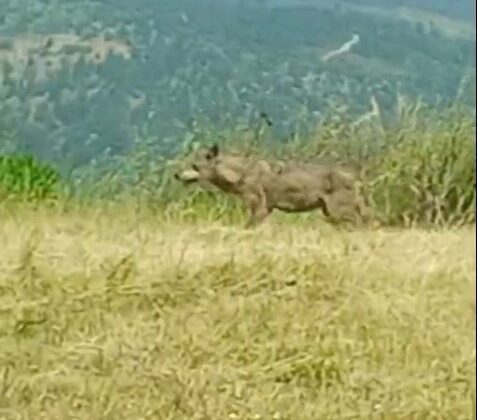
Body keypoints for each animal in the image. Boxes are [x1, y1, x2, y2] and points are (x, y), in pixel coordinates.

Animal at [173, 144, 374, 230]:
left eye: (194, 166)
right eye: (186, 163)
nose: (176, 175)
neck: (240, 173)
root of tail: (357, 178)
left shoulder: (260, 208)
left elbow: (247, 228)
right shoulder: (265, 209)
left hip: (338, 213)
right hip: (331, 214)